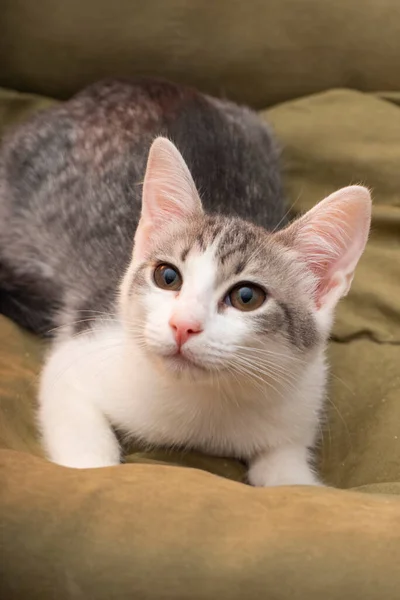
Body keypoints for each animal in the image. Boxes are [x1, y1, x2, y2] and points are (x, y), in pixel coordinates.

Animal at [0, 77, 372, 486]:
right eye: (167, 277)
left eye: (246, 297)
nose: (183, 325)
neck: (203, 404)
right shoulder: (76, 360)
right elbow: (86, 450)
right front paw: (93, 467)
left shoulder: (299, 405)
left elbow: (290, 478)